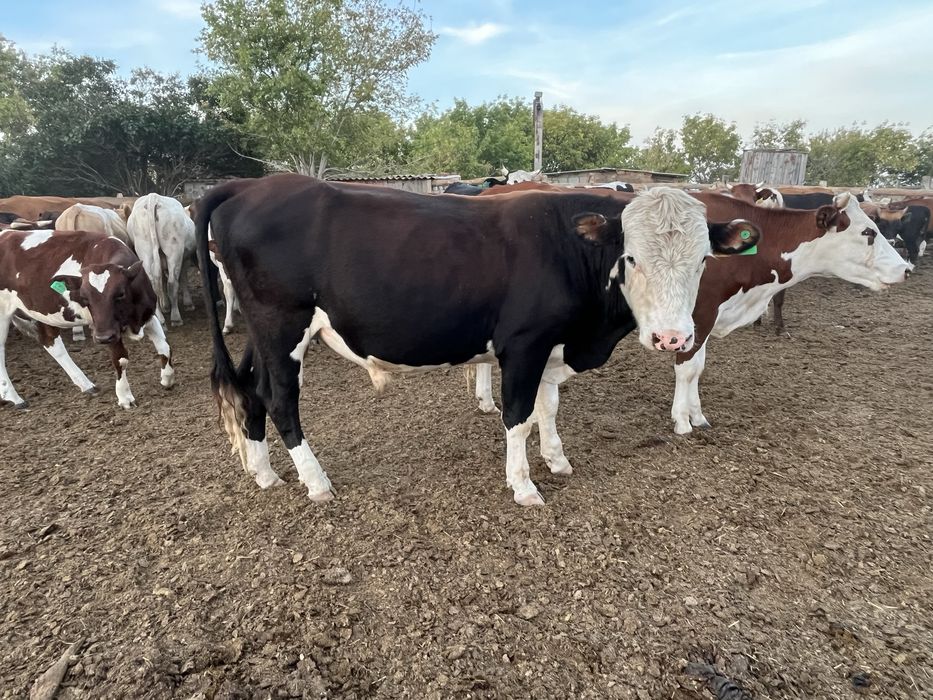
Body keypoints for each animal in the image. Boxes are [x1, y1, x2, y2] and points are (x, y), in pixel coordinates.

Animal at [0, 229, 174, 409]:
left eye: (120, 294)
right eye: (84, 299)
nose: (102, 338)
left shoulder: (147, 315)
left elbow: (165, 347)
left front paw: (167, 379)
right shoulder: (106, 329)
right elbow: (120, 359)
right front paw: (125, 397)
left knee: (51, 342)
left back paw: (86, 385)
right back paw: (13, 397)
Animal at [127, 194, 196, 326]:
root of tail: (154, 197)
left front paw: (165, 306)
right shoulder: (184, 258)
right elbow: (182, 278)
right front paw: (188, 303)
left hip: (145, 250)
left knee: (152, 282)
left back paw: (160, 318)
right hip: (174, 250)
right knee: (172, 282)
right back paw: (176, 318)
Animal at [195, 175, 760, 506]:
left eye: (703, 260)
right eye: (632, 257)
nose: (673, 337)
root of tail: (249, 185)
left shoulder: (552, 346)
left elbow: (548, 407)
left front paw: (557, 460)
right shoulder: (524, 344)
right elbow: (518, 414)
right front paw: (524, 484)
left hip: (266, 332)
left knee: (250, 391)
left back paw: (263, 472)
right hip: (282, 324)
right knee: (280, 400)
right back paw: (315, 482)